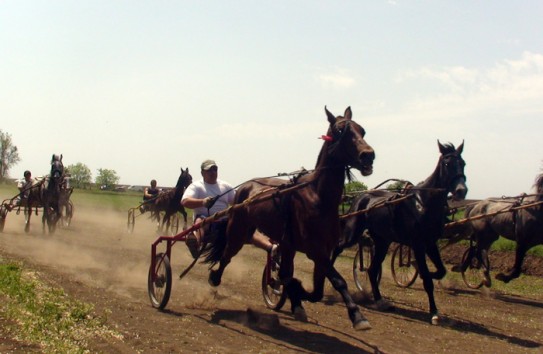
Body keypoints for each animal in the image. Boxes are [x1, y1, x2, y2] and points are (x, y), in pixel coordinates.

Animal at [202, 106, 376, 330]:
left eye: (362, 130)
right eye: (340, 131)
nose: (368, 156)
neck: (318, 196)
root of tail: (244, 187)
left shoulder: (324, 249)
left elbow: (316, 291)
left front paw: (298, 295)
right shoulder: (315, 250)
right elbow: (337, 281)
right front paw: (357, 316)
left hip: (285, 244)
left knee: (284, 271)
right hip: (238, 231)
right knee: (226, 255)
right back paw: (215, 277)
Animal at [332, 141, 468, 324]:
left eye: (463, 163)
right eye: (447, 163)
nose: (461, 190)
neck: (423, 203)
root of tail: (361, 197)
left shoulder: (431, 243)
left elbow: (440, 271)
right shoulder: (418, 245)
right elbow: (427, 279)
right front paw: (433, 312)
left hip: (382, 241)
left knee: (372, 270)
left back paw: (380, 301)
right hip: (353, 232)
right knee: (338, 247)